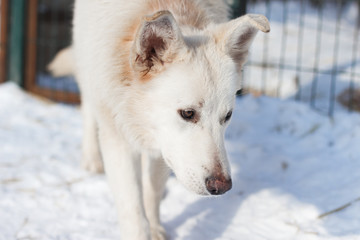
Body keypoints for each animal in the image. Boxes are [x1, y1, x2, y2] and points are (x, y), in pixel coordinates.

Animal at [49, 0, 270, 239]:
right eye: (188, 113)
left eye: (227, 116)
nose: (222, 187)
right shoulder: (119, 138)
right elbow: (133, 209)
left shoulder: (165, 148)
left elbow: (152, 191)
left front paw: (155, 228)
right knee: (88, 108)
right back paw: (91, 158)